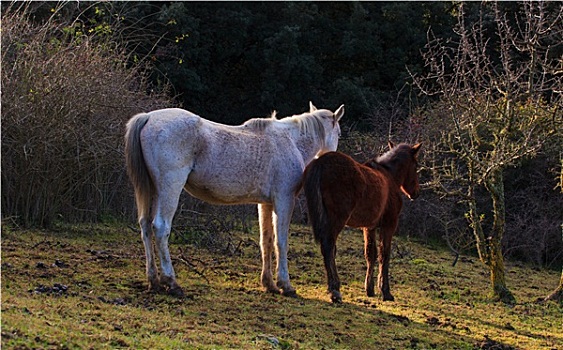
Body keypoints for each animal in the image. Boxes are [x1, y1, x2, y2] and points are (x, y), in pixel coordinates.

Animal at [124, 102, 344, 296]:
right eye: (339, 134)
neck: (291, 141)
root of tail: (148, 117)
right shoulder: (284, 200)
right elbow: (281, 242)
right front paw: (285, 285)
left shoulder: (266, 204)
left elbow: (266, 240)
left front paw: (269, 284)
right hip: (169, 188)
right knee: (161, 228)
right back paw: (172, 282)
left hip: (152, 190)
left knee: (145, 226)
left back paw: (154, 280)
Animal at [302, 142, 420, 304]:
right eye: (416, 166)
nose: (415, 193)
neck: (390, 177)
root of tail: (321, 162)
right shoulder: (389, 225)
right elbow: (384, 255)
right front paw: (385, 291)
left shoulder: (369, 227)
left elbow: (370, 254)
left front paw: (369, 289)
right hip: (336, 220)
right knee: (328, 246)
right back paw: (335, 290)